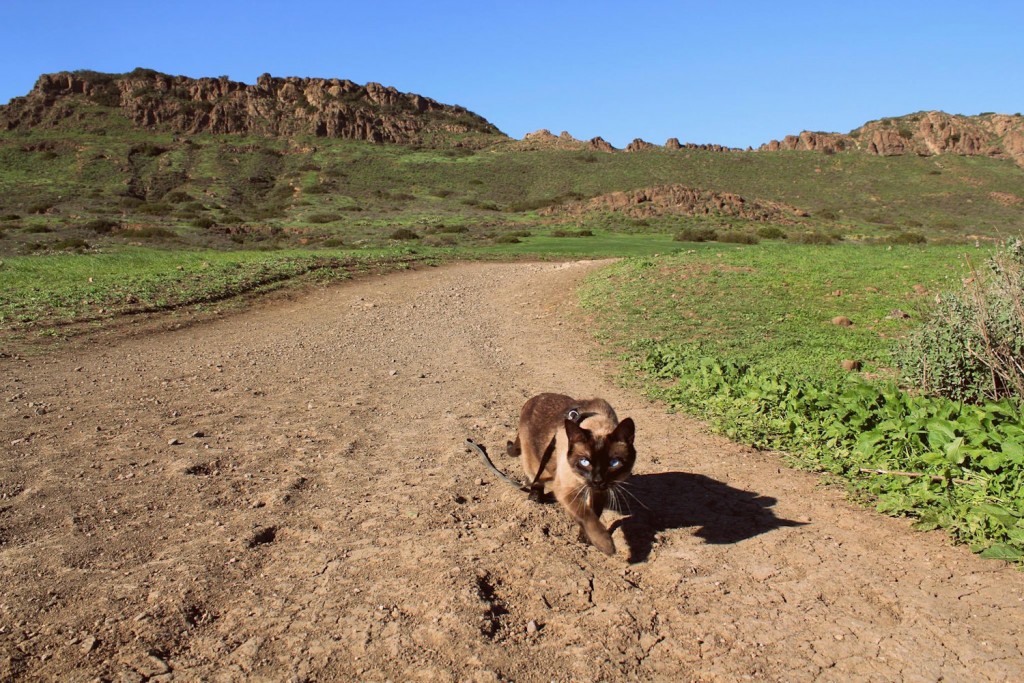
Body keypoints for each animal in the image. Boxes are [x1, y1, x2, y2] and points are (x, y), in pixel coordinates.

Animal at [507, 395, 634, 557]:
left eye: (614, 463)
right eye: (585, 462)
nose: (597, 480)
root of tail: (532, 399)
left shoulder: (600, 492)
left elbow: (594, 514)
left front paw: (585, 539)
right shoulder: (566, 490)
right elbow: (586, 515)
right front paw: (606, 545)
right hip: (535, 462)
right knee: (535, 478)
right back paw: (534, 498)